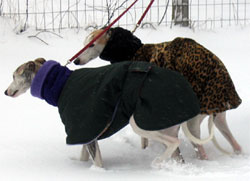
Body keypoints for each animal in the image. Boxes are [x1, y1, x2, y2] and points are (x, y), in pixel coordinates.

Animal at [4, 58, 200, 168]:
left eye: (14, 76)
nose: (5, 92)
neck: (61, 84)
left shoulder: (86, 129)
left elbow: (98, 163)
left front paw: (99, 173)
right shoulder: (86, 134)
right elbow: (84, 157)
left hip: (141, 122)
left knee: (174, 142)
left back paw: (157, 162)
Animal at [73, 26, 242, 160]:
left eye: (92, 45)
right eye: (84, 44)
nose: (76, 61)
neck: (133, 50)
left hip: (191, 123)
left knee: (196, 149)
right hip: (218, 119)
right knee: (236, 146)